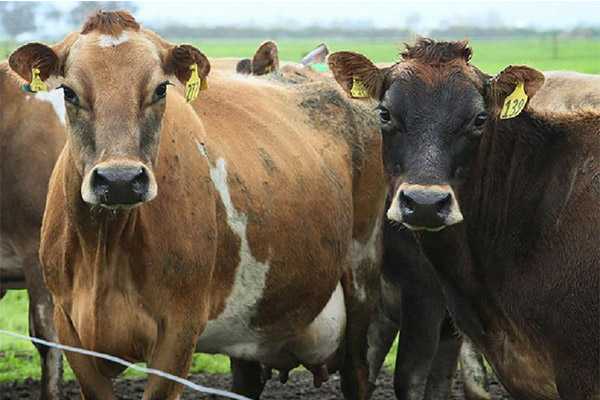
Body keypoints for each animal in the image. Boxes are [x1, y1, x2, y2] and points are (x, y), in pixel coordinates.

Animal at [8, 10, 386, 400]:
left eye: (161, 89)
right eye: (68, 91)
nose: (119, 180)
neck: (105, 248)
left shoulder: (179, 330)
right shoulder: (71, 330)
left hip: (361, 277)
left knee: (358, 371)